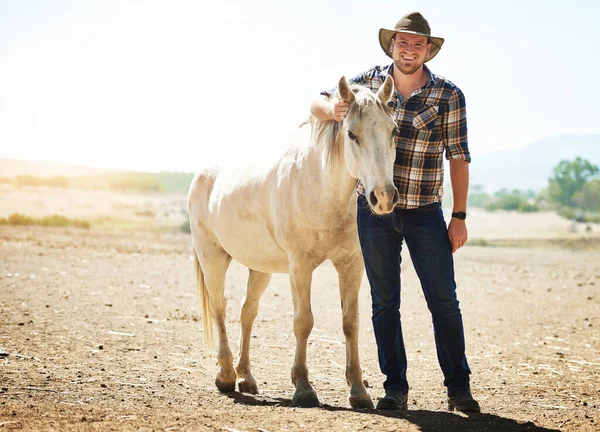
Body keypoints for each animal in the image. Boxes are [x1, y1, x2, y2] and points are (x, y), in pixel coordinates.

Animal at [188, 76, 398, 410]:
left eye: (394, 131)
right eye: (351, 133)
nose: (384, 197)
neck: (322, 187)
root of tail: (202, 174)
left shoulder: (351, 263)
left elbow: (350, 322)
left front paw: (358, 390)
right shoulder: (301, 265)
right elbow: (303, 321)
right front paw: (303, 388)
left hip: (260, 268)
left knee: (247, 312)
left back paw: (246, 377)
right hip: (212, 258)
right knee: (219, 308)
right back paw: (226, 375)